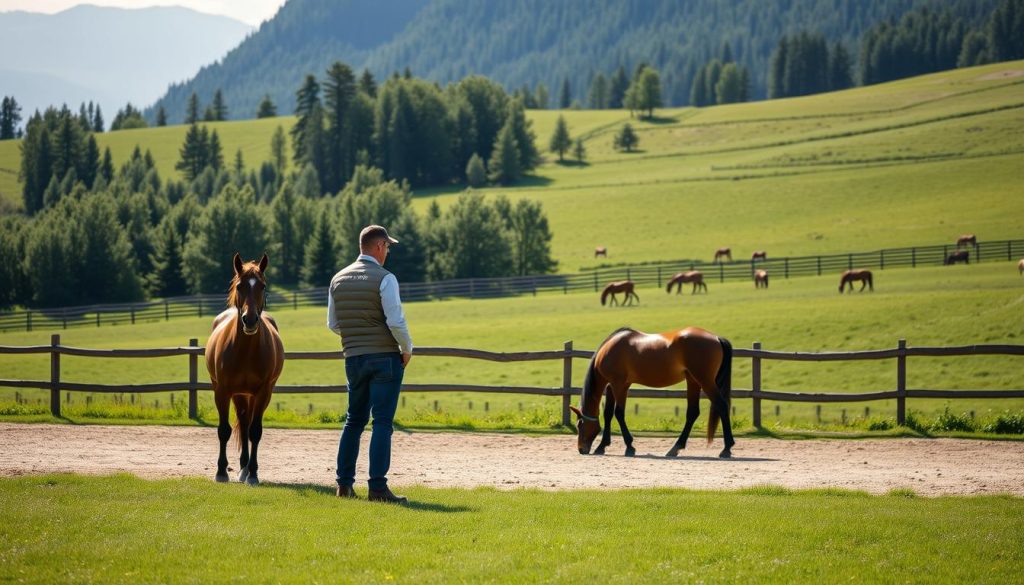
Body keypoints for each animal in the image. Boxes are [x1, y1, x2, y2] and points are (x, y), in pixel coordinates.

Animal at [205, 254, 284, 487]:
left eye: (262, 286)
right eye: (240, 286)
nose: (249, 320)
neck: (246, 350)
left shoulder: (263, 392)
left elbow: (255, 432)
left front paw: (253, 474)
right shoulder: (222, 391)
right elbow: (224, 431)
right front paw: (221, 472)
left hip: (249, 395)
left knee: (247, 425)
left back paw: (245, 469)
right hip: (238, 394)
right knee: (242, 421)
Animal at [569, 327, 737, 461]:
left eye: (580, 425)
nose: (581, 449)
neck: (609, 349)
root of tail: (716, 338)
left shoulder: (619, 385)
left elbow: (619, 413)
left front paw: (629, 447)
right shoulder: (611, 386)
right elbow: (608, 414)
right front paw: (602, 446)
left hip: (704, 380)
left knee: (721, 406)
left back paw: (726, 449)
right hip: (693, 381)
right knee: (693, 412)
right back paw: (675, 448)